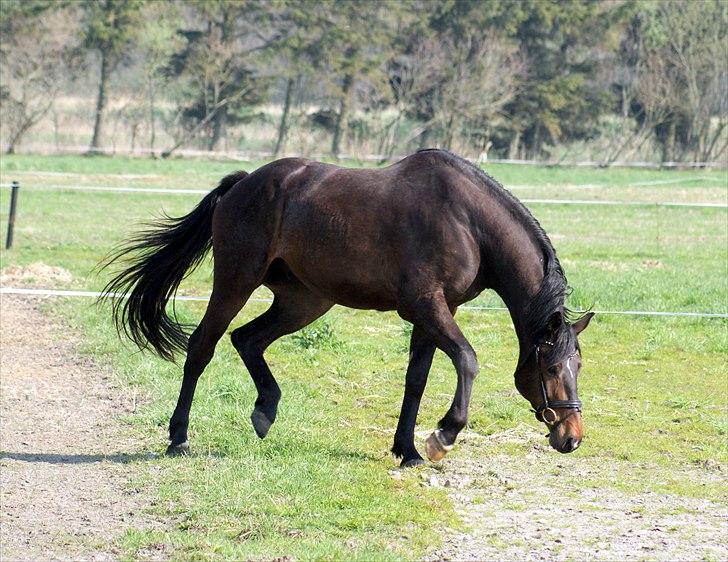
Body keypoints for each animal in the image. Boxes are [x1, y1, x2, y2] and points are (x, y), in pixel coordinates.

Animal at [101, 149, 592, 464]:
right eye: (551, 369)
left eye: (578, 366)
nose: (571, 436)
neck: (468, 220)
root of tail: (244, 183)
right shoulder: (425, 306)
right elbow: (467, 360)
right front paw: (442, 435)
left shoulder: (435, 312)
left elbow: (416, 379)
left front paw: (407, 451)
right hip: (235, 283)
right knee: (203, 346)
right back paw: (179, 437)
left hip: (304, 300)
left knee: (248, 339)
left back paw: (265, 411)